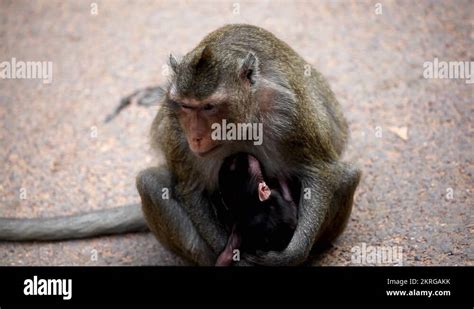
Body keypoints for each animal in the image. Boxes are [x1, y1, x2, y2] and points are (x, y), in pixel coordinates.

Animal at [0, 24, 360, 264]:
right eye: (186, 107)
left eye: (209, 107)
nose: (196, 136)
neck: (240, 122)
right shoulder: (176, 130)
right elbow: (190, 188)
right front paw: (234, 254)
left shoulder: (288, 112)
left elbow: (320, 171)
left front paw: (290, 255)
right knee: (151, 183)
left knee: (346, 176)